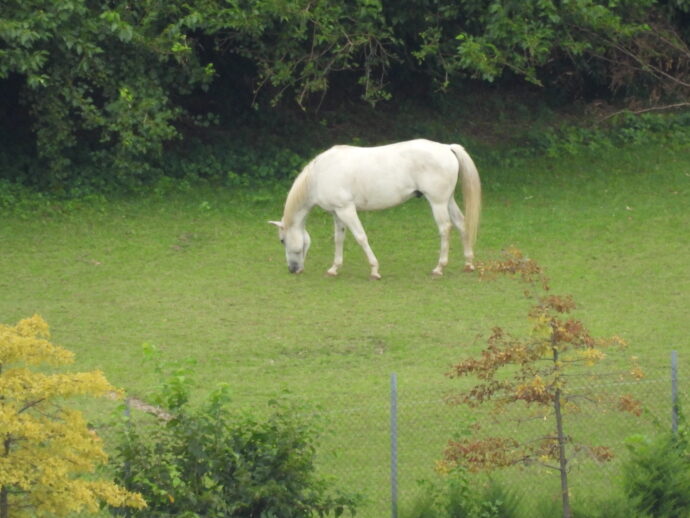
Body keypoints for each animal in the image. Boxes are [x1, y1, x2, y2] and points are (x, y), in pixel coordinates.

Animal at [269, 139, 481, 279]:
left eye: (282, 240)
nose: (293, 269)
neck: (319, 175)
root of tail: (447, 148)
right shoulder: (337, 213)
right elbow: (339, 239)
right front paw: (334, 268)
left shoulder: (347, 210)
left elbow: (361, 237)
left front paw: (374, 270)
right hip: (448, 200)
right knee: (462, 224)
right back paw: (468, 263)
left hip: (437, 202)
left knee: (445, 228)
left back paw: (439, 267)